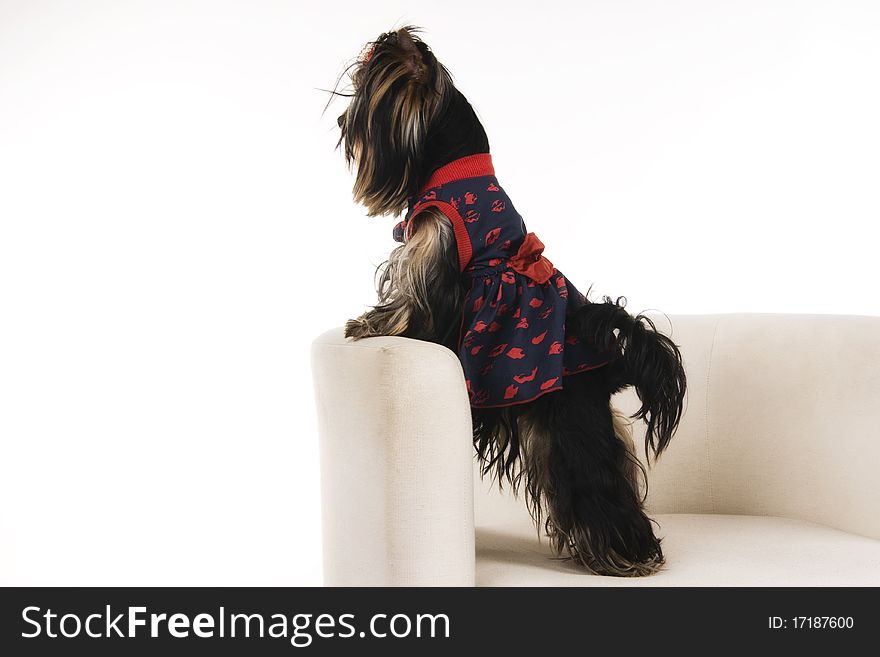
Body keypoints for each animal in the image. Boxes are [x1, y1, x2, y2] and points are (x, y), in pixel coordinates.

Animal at [330, 25, 688, 576]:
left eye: (361, 95)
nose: (342, 122)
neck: (453, 166)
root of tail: (610, 361)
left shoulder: (436, 258)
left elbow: (411, 307)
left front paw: (369, 324)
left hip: (567, 423)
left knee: (594, 479)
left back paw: (622, 555)